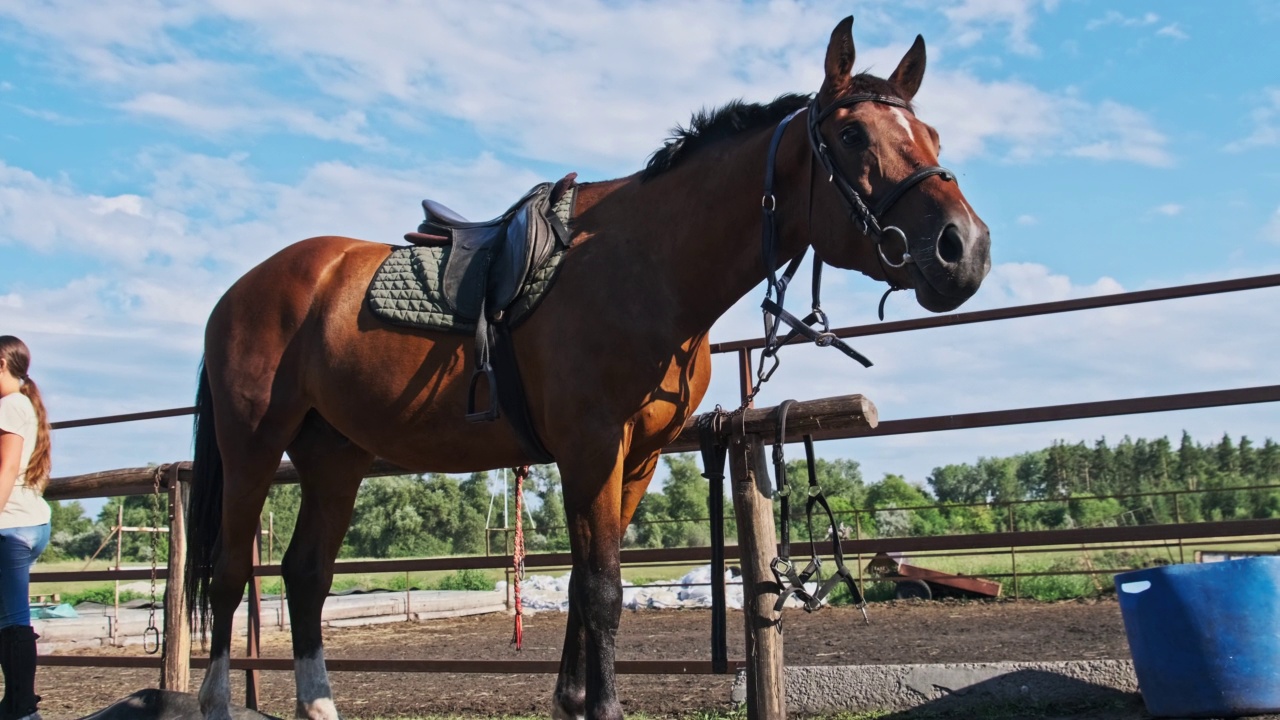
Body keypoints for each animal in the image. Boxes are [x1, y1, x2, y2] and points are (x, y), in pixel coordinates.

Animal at [186, 16, 988, 717]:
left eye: (933, 136)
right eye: (853, 135)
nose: (966, 248)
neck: (647, 262)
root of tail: (240, 291)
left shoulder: (638, 457)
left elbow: (582, 584)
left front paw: (570, 702)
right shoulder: (592, 446)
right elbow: (601, 588)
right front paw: (601, 707)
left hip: (334, 456)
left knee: (305, 575)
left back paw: (319, 703)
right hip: (253, 446)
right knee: (228, 575)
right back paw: (218, 701)